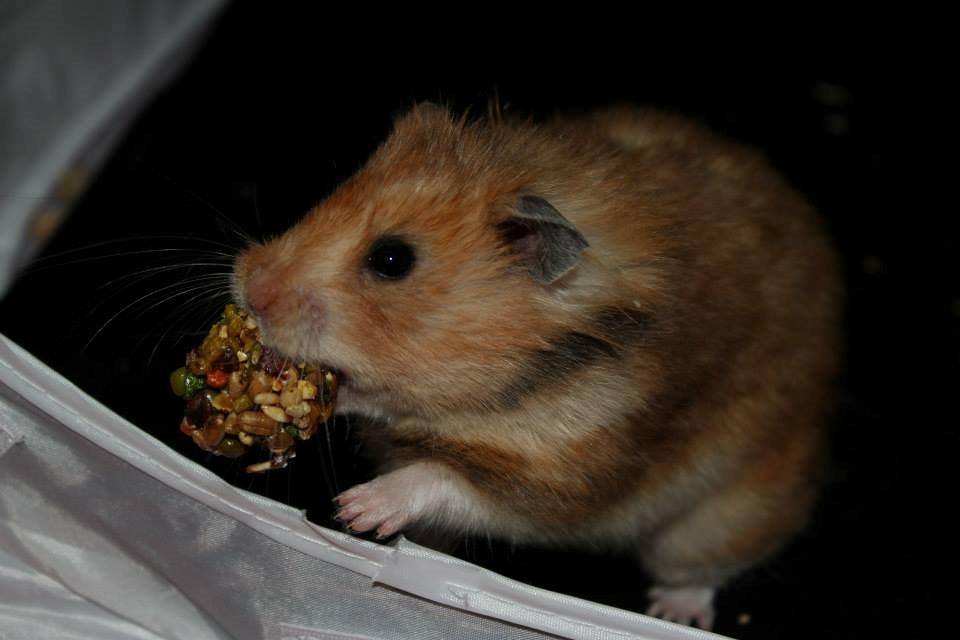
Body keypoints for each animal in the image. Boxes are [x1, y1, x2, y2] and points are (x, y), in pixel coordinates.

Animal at [232, 103, 841, 629]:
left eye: (392, 259)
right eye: (330, 198)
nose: (249, 289)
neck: (511, 382)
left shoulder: (567, 482)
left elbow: (447, 479)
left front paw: (356, 511)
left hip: (725, 516)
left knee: (707, 566)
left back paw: (675, 614)